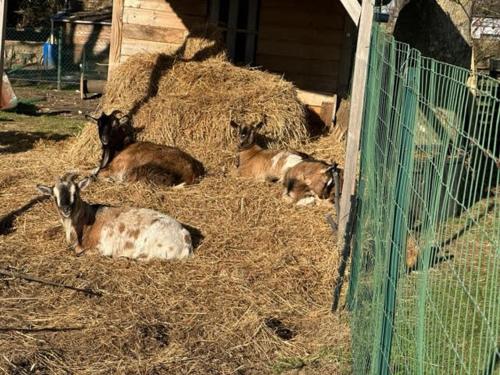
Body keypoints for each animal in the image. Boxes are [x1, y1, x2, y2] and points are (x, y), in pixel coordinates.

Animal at [36, 173, 193, 262]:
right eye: (54, 195)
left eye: (76, 192)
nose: (66, 209)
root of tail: (185, 238)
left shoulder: (100, 247)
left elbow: (81, 252)